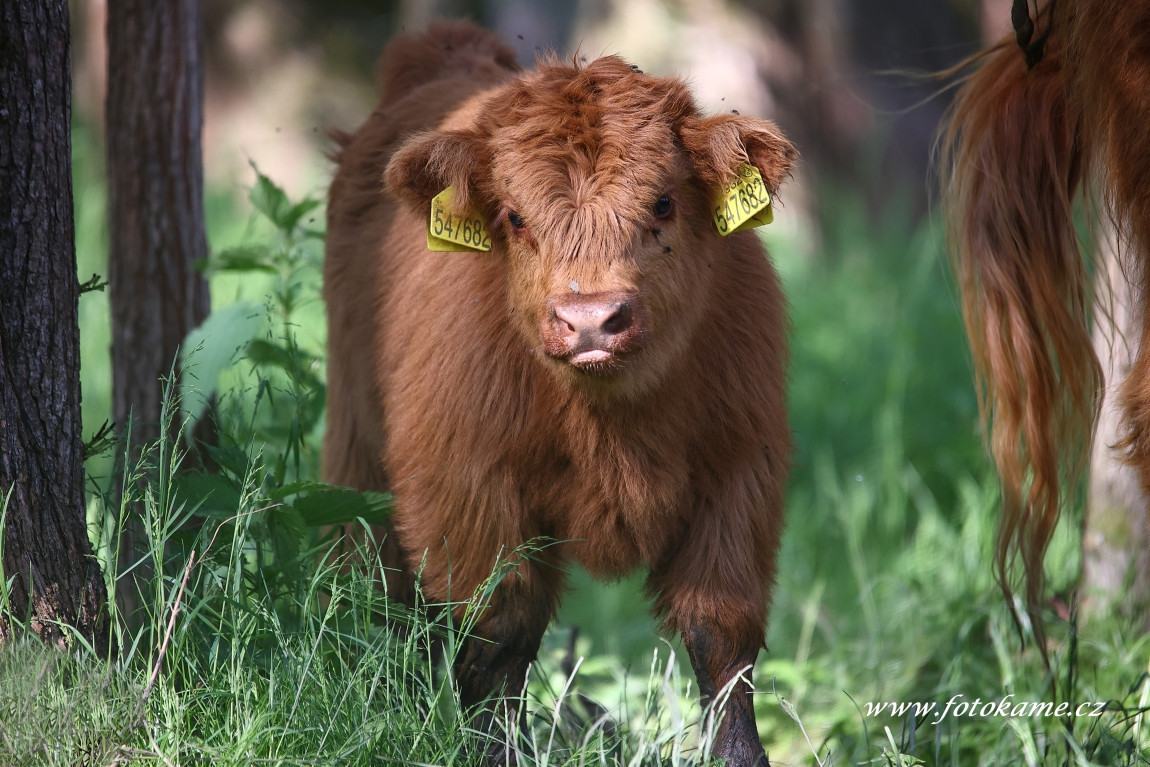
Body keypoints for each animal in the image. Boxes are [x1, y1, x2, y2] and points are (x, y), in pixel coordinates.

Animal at [319, 20, 795, 763]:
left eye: (663, 202)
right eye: (515, 217)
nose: (591, 319)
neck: (612, 427)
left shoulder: (739, 478)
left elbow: (722, 641)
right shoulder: (470, 494)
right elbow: (497, 636)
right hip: (356, 454)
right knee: (382, 593)